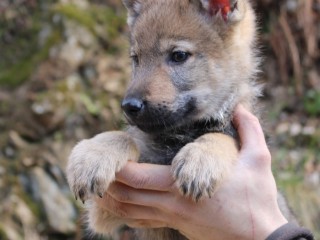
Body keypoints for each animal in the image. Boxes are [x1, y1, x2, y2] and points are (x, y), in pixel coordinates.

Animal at [66, 0, 296, 240]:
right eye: (136, 59)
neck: (179, 135)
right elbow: (125, 137)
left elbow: (221, 136)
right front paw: (93, 156)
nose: (129, 106)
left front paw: (201, 159)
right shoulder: (104, 212)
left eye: (179, 55)